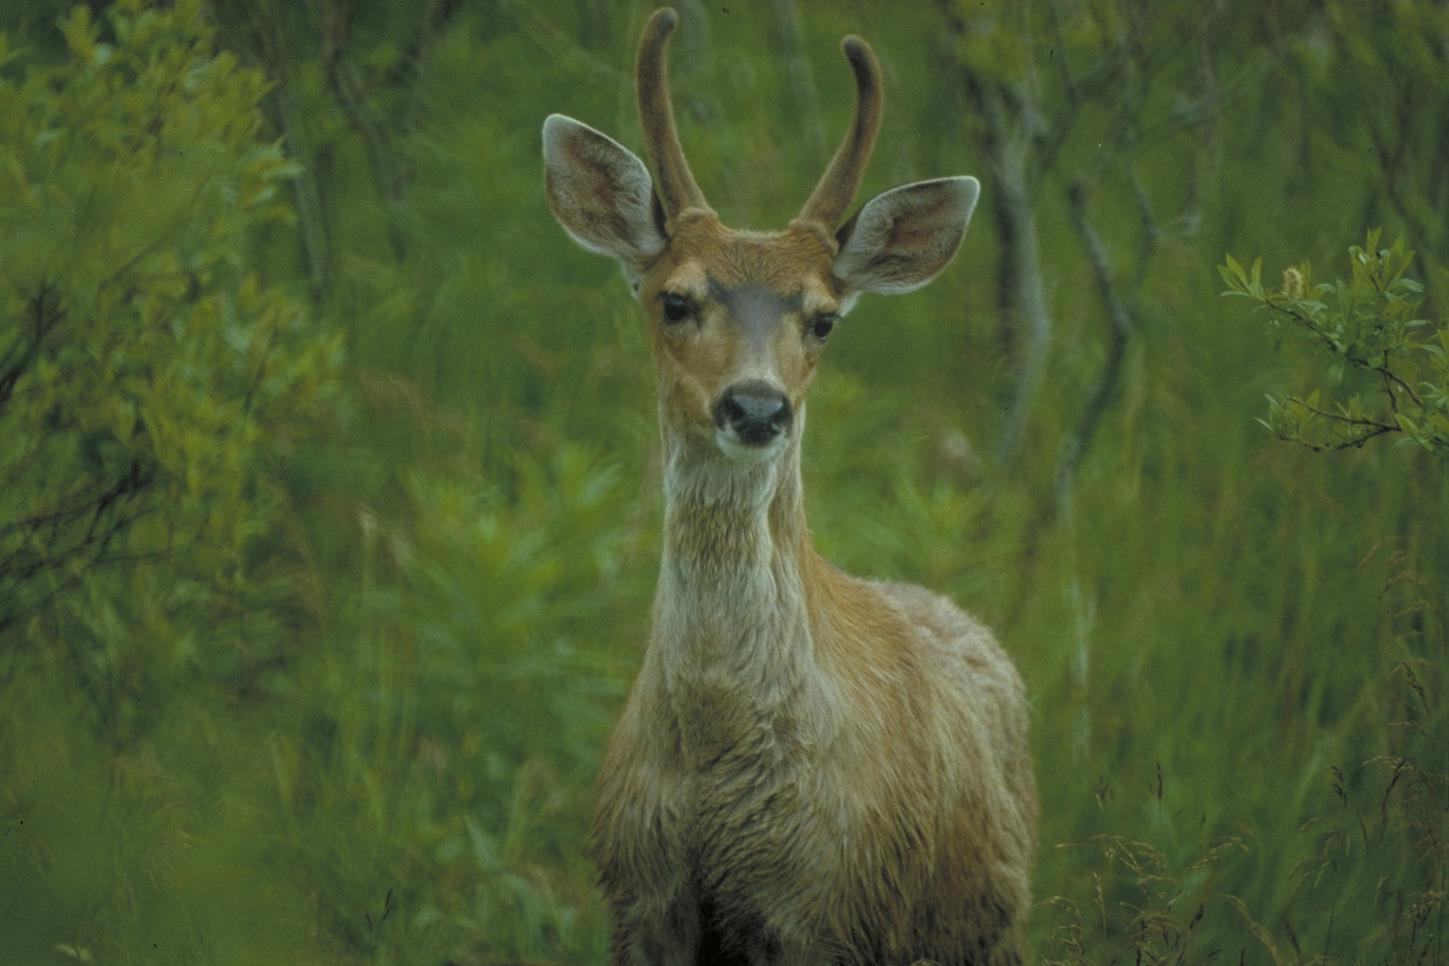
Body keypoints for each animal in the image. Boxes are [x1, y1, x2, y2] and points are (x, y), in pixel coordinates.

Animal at [542, 9, 1036, 965]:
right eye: (674, 299)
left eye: (824, 318)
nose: (756, 405)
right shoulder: (641, 898)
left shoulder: (834, 912)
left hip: (990, 931)